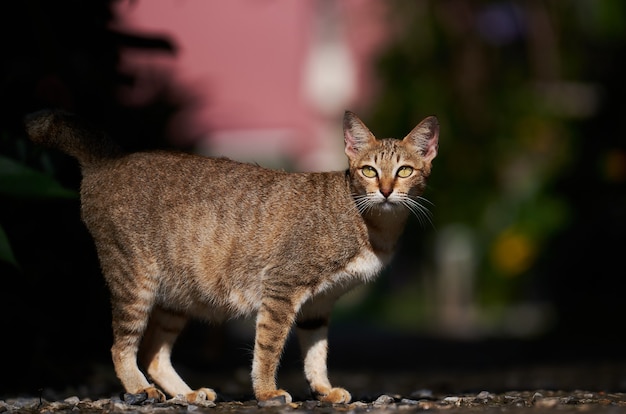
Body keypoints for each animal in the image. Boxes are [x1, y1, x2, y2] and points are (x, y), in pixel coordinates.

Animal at [24, 109, 436, 404]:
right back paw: (140, 390)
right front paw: (267, 392)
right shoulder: (282, 287)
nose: (385, 190)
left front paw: (323, 389)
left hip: (174, 297)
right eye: (368, 170)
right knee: (120, 347)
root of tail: (107, 161)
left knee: (154, 354)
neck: (372, 225)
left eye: (404, 170)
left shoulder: (319, 306)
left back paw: (188, 394)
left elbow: (316, 354)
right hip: (134, 282)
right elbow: (268, 347)